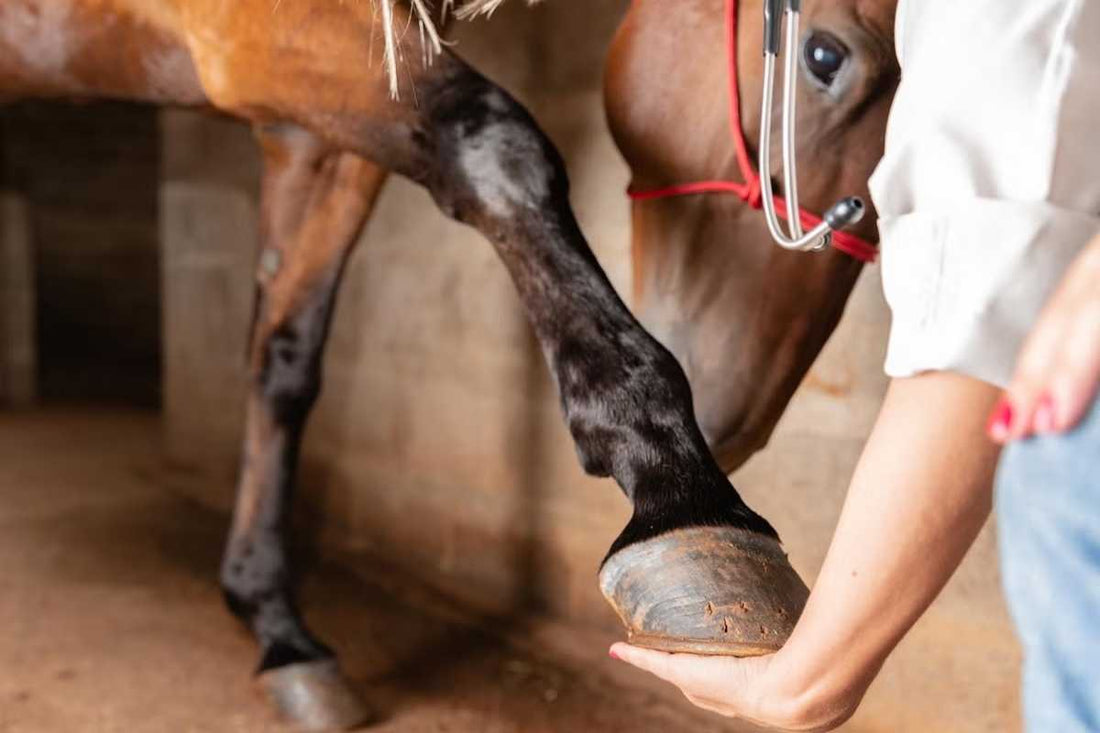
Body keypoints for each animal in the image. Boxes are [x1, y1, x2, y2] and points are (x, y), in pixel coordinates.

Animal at [0, 0, 899, 728]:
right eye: (826, 57)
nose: (732, 412)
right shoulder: (258, 33)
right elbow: (492, 141)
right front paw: (680, 491)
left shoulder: (317, 133)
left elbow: (283, 360)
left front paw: (275, 625)